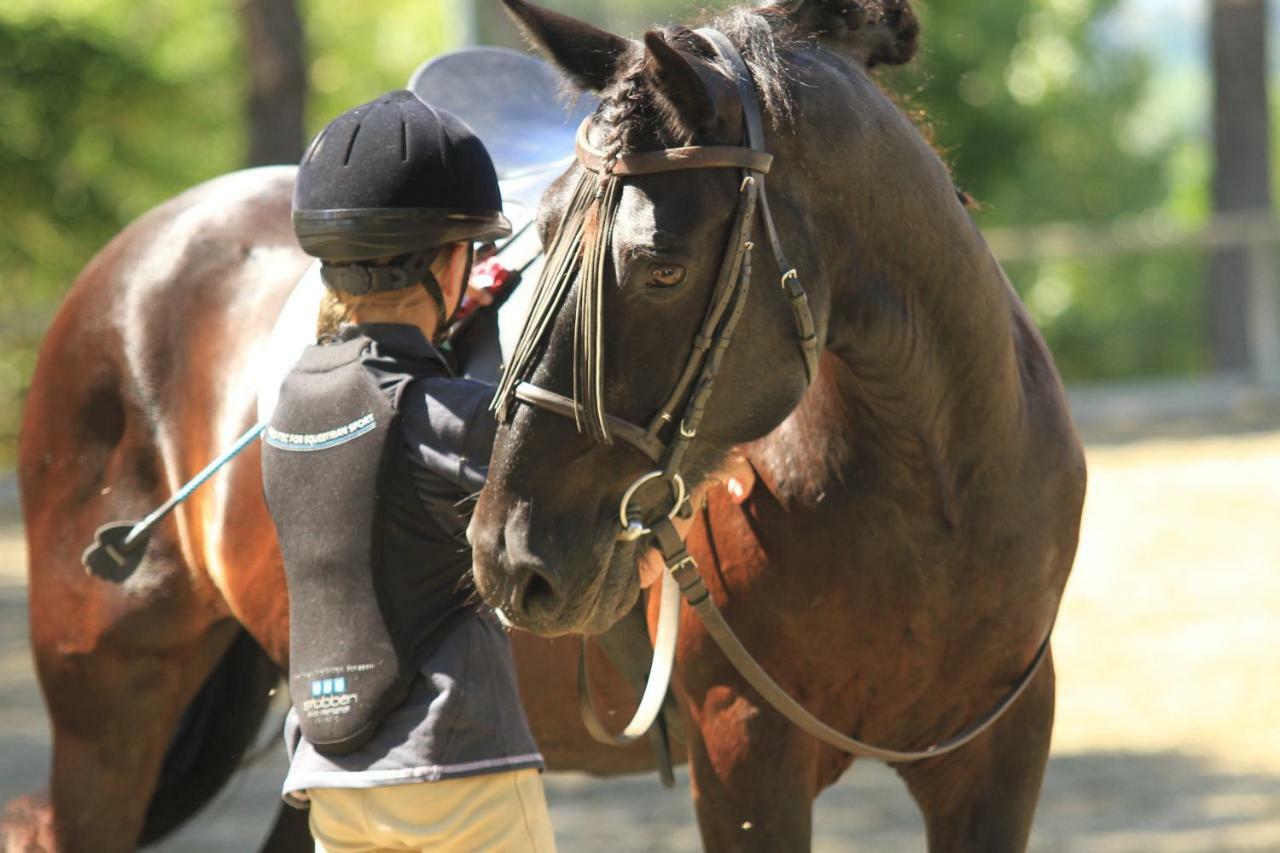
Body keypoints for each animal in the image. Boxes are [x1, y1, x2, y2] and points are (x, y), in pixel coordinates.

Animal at [2, 1, 1090, 850]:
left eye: (660, 267)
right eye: (547, 234)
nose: (507, 554)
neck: (935, 494)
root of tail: (136, 257)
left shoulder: (1000, 753)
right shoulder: (745, 755)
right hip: (107, 709)